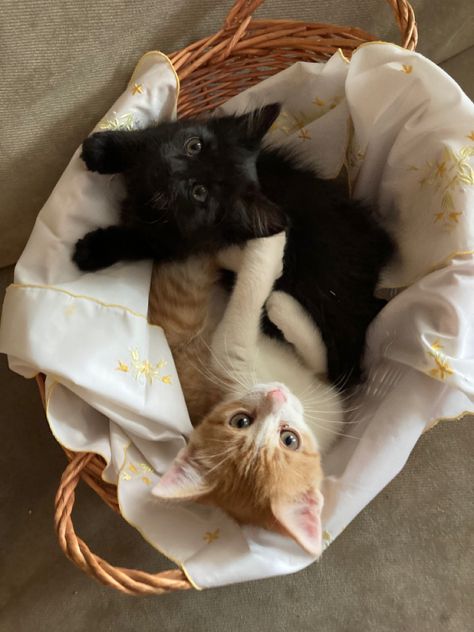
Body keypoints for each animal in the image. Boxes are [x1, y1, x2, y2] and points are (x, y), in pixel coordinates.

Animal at [73, 105, 392, 386]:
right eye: (194, 146)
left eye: (199, 192)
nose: (171, 167)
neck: (151, 199)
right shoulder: (162, 137)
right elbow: (142, 141)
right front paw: (100, 149)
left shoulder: (171, 244)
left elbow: (132, 239)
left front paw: (92, 250)